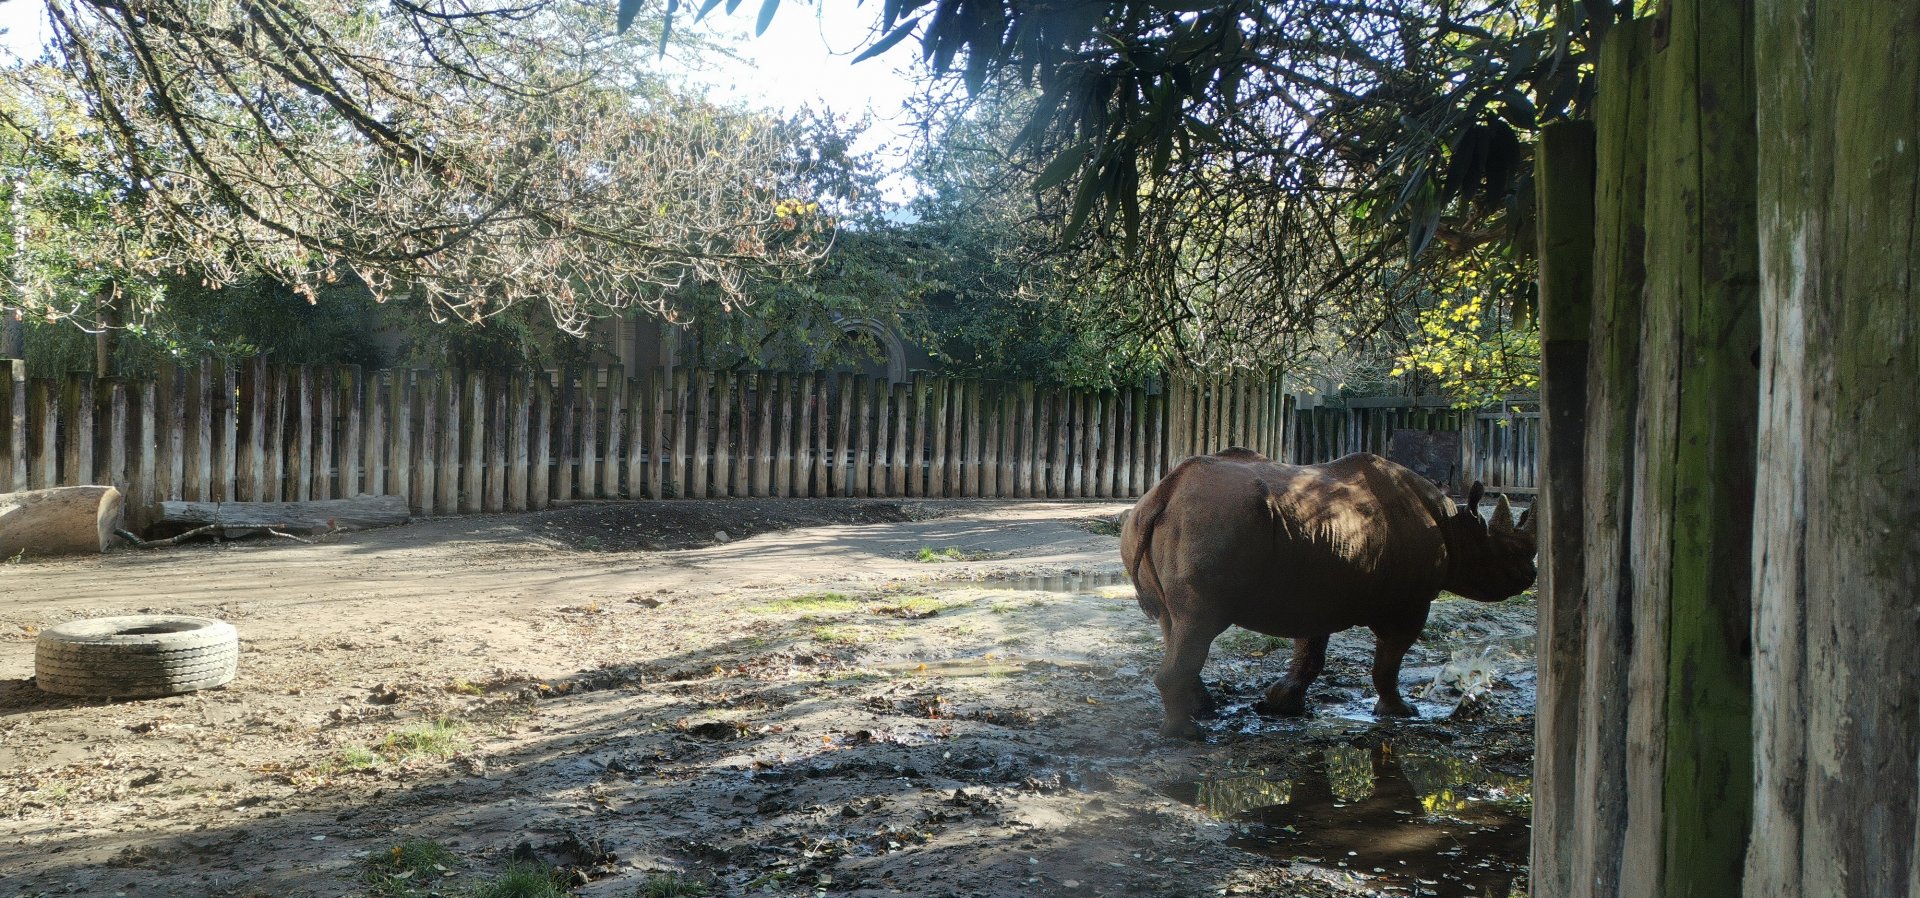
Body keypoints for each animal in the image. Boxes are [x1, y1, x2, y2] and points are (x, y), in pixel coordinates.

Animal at [1120, 448, 1537, 738]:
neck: (1457, 529)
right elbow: (1389, 661)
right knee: (1198, 624)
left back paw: (1202, 711)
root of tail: (1166, 491)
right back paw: (1188, 734)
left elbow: (1311, 652)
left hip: (1166, 521)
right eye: (1508, 554)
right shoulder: (1410, 602)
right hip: (1210, 522)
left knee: (1173, 623)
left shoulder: (1315, 588)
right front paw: (1401, 713)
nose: (1531, 575)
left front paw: (1280, 703)